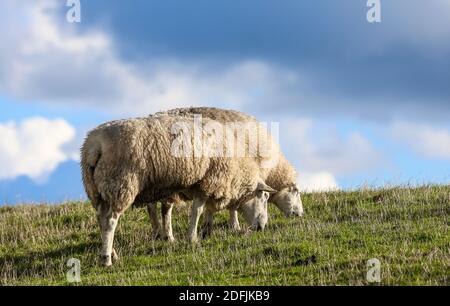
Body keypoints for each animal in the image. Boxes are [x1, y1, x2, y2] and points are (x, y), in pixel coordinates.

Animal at [82, 114, 276, 266]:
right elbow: (197, 211)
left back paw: (112, 252)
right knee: (110, 221)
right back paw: (106, 259)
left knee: (101, 219)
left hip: (97, 189)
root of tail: (95, 144)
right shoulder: (207, 181)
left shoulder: (195, 185)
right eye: (265, 197)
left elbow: (193, 210)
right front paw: (193, 238)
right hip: (120, 184)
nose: (262, 227)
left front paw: (201, 232)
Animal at [148, 107, 302, 241]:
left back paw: (157, 233)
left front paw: (208, 229)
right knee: (164, 206)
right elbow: (231, 206)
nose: (301, 214)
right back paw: (165, 235)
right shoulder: (226, 179)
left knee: (153, 205)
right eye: (296, 191)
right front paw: (234, 226)